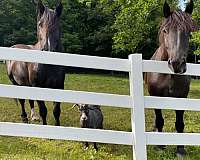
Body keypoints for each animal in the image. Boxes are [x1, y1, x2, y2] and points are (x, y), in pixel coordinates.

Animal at [145, 0, 198, 158]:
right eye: (165, 31)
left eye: (189, 32)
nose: (177, 64)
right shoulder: (155, 96)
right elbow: (160, 120)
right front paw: (160, 146)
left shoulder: (181, 98)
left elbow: (180, 123)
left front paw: (180, 149)